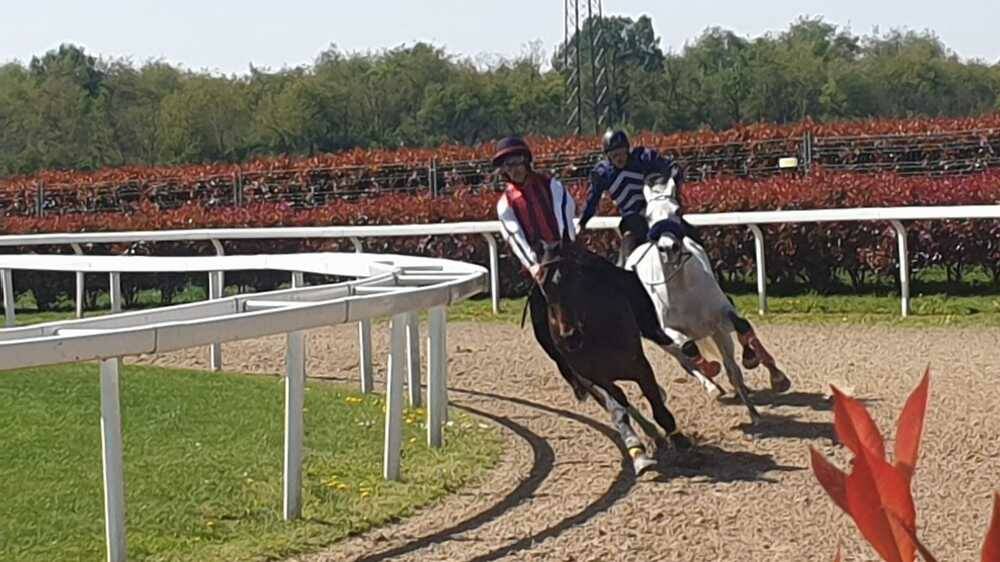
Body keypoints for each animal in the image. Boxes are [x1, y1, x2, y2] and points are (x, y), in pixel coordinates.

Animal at [536, 238, 692, 470]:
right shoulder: (595, 377)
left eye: (576, 278)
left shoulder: (640, 365)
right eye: (543, 284)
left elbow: (656, 403)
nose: (569, 337)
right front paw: (642, 448)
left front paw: (679, 440)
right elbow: (619, 400)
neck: (595, 333)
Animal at [628, 175, 792, 420]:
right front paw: (710, 372)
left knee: (732, 365)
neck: (683, 287)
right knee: (686, 359)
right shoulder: (668, 329)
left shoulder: (721, 317)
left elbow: (742, 327)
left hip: (717, 332)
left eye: (677, 210)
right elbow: (688, 349)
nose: (668, 248)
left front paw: (761, 369)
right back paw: (712, 385)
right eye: (648, 216)